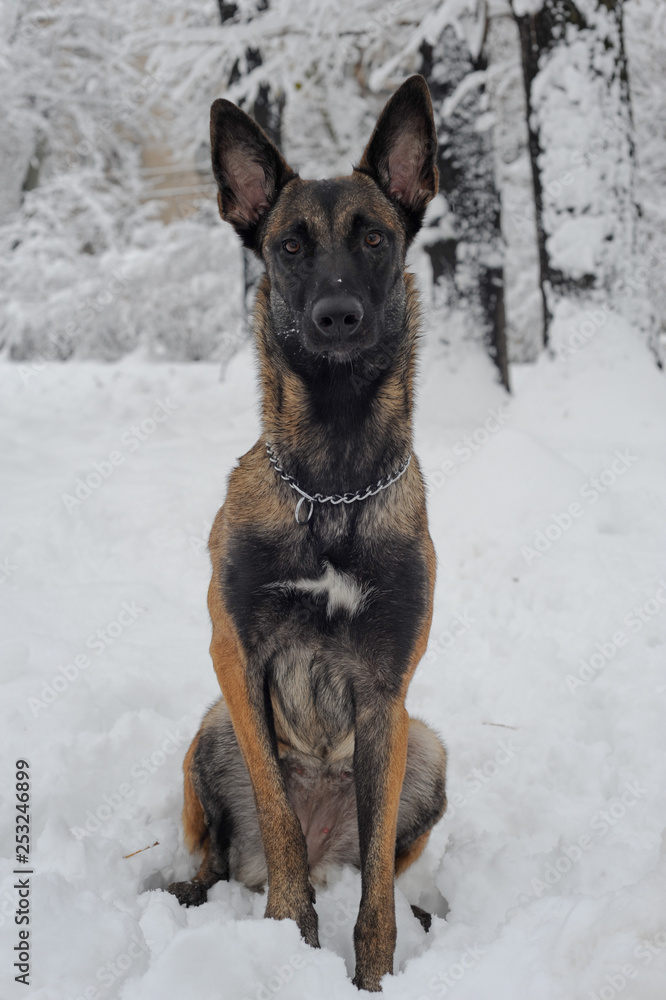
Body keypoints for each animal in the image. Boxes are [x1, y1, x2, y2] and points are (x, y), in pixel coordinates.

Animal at [166, 74, 446, 988]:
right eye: (290, 246)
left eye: (374, 238)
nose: (337, 316)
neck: (333, 485)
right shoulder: (236, 654)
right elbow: (279, 816)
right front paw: (289, 933)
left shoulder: (388, 694)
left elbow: (377, 890)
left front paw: (375, 973)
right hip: (210, 731)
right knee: (225, 854)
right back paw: (196, 893)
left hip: (425, 746)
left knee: (376, 865)